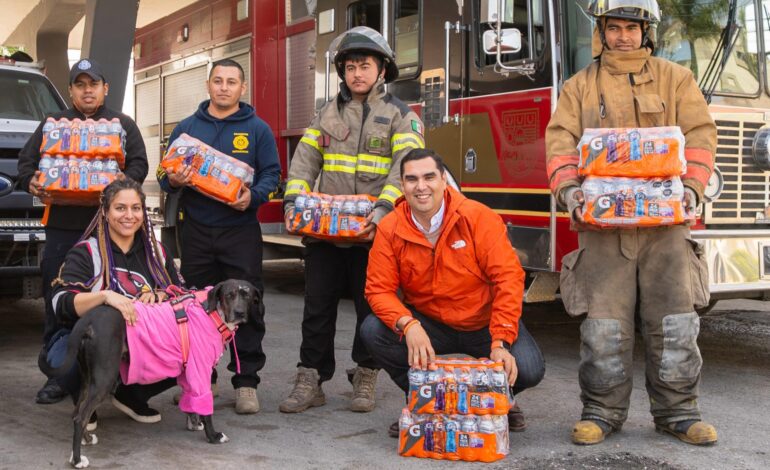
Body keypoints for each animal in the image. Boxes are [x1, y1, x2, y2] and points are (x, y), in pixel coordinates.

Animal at [39, 280, 260, 468]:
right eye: (230, 295)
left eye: (247, 296)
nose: (239, 312)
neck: (210, 312)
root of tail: (88, 319)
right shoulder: (200, 369)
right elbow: (205, 407)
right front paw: (212, 436)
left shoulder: (188, 371)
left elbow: (190, 400)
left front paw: (194, 423)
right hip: (104, 379)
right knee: (80, 417)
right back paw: (77, 460)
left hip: (88, 378)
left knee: (78, 412)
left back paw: (84, 443)